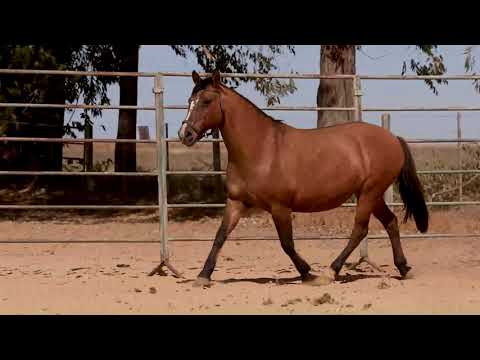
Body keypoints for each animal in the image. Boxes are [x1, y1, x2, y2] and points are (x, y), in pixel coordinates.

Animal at [177, 69, 428, 286]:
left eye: (206, 101)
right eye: (190, 100)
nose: (185, 134)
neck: (261, 148)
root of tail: (393, 138)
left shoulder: (279, 207)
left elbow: (287, 243)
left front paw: (308, 273)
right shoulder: (236, 202)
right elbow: (220, 236)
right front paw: (203, 275)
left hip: (369, 193)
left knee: (360, 230)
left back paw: (331, 271)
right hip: (371, 195)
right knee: (390, 222)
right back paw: (403, 268)